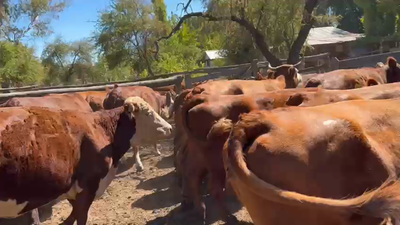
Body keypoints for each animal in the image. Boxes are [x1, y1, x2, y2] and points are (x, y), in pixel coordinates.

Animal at [0, 96, 171, 224]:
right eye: (148, 113)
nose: (169, 127)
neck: (102, 129)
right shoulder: (88, 185)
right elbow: (81, 216)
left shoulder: (72, 189)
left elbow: (72, 216)